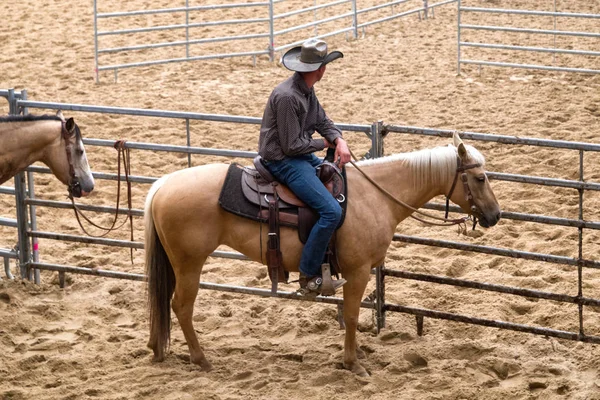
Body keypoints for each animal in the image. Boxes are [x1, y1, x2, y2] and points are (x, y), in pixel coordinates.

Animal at [145, 133, 502, 376]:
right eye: (480, 177)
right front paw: (353, 363)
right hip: (189, 263)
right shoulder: (359, 271)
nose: (495, 215)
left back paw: (157, 348)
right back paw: (200, 359)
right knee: (181, 306)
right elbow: (353, 315)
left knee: (161, 300)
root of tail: (162, 185)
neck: (376, 195)